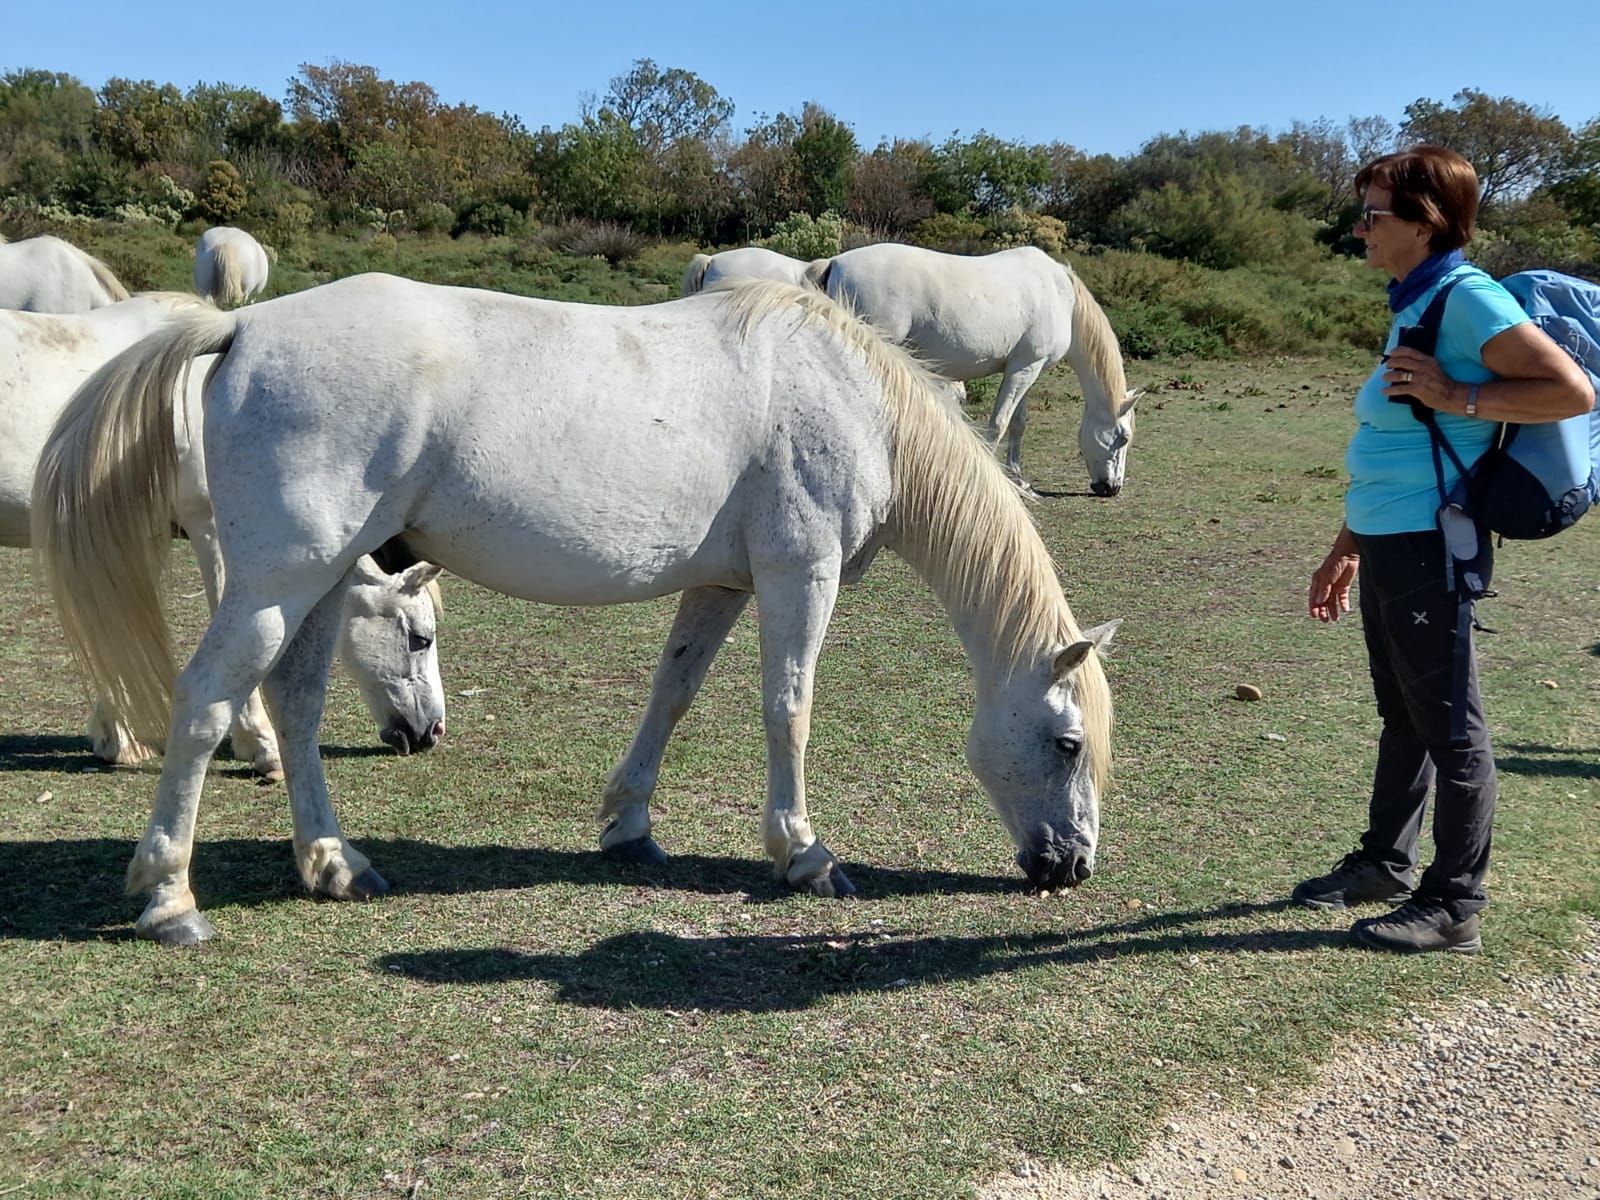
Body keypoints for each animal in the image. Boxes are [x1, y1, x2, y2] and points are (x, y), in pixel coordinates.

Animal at [812, 246, 1139, 496]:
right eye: (1122, 437)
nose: (1112, 488)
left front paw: (1020, 479)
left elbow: (1018, 423)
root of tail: (835, 263)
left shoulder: (1025, 368)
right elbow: (999, 424)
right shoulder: (1025, 369)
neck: (1062, 297)